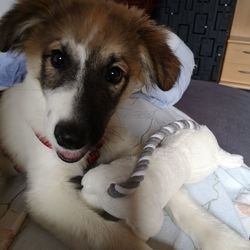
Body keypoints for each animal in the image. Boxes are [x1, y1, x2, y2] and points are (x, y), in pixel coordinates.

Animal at [0, 0, 180, 250]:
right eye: (58, 59)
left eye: (114, 74)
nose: (70, 138)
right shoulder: (48, 195)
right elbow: (108, 234)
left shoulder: (130, 148)